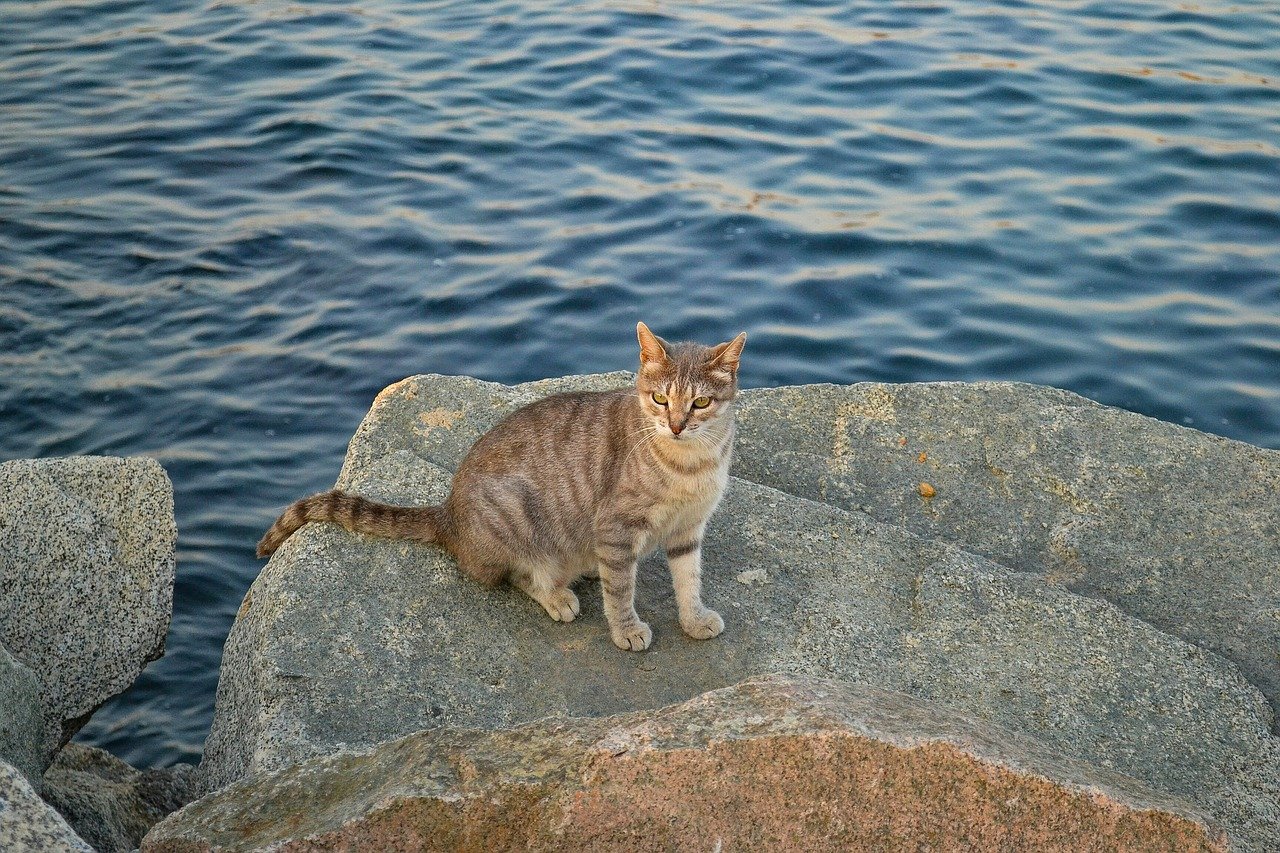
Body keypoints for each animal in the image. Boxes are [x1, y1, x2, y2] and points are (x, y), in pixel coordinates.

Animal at [254, 320, 747, 650]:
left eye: (700, 402)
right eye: (660, 398)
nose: (676, 425)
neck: (689, 465)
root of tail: (448, 514)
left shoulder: (688, 530)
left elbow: (689, 578)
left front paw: (694, 618)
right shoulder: (616, 526)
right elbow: (622, 589)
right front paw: (626, 628)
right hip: (517, 519)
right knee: (519, 574)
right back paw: (557, 595)